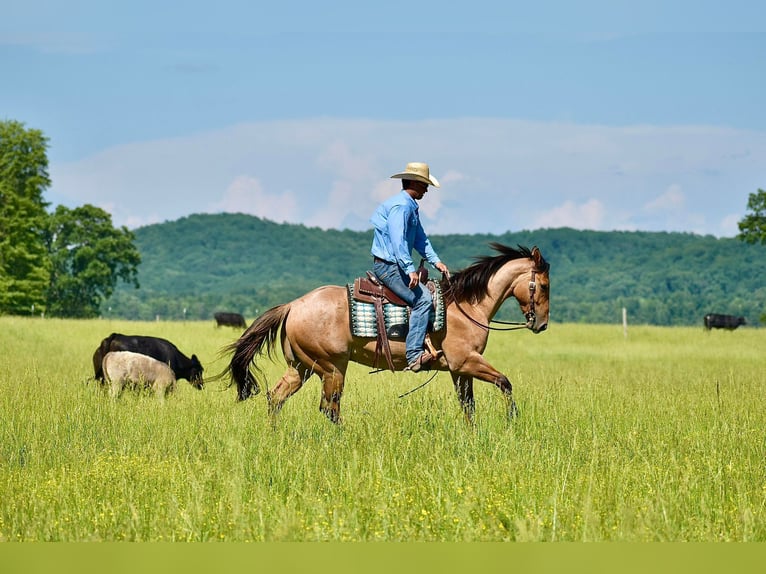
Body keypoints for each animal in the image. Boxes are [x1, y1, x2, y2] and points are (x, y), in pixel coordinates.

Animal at [222, 243, 552, 428]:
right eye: (545, 285)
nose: (542, 325)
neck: (466, 306)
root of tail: (293, 305)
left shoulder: (459, 370)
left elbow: (468, 405)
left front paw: (473, 434)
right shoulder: (466, 361)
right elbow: (505, 382)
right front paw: (512, 420)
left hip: (302, 368)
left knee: (276, 397)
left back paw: (274, 434)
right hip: (331, 368)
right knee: (329, 408)